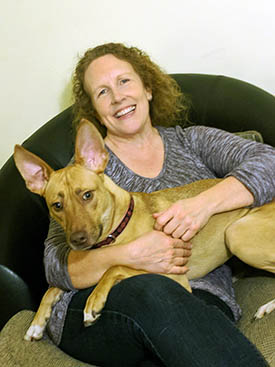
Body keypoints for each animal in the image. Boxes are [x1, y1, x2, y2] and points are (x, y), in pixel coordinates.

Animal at [14, 120, 275, 342]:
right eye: (56, 206)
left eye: (87, 195)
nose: (77, 241)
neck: (120, 227)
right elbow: (53, 287)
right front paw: (37, 323)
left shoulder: (174, 276)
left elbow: (115, 267)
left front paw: (94, 301)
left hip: (236, 234)